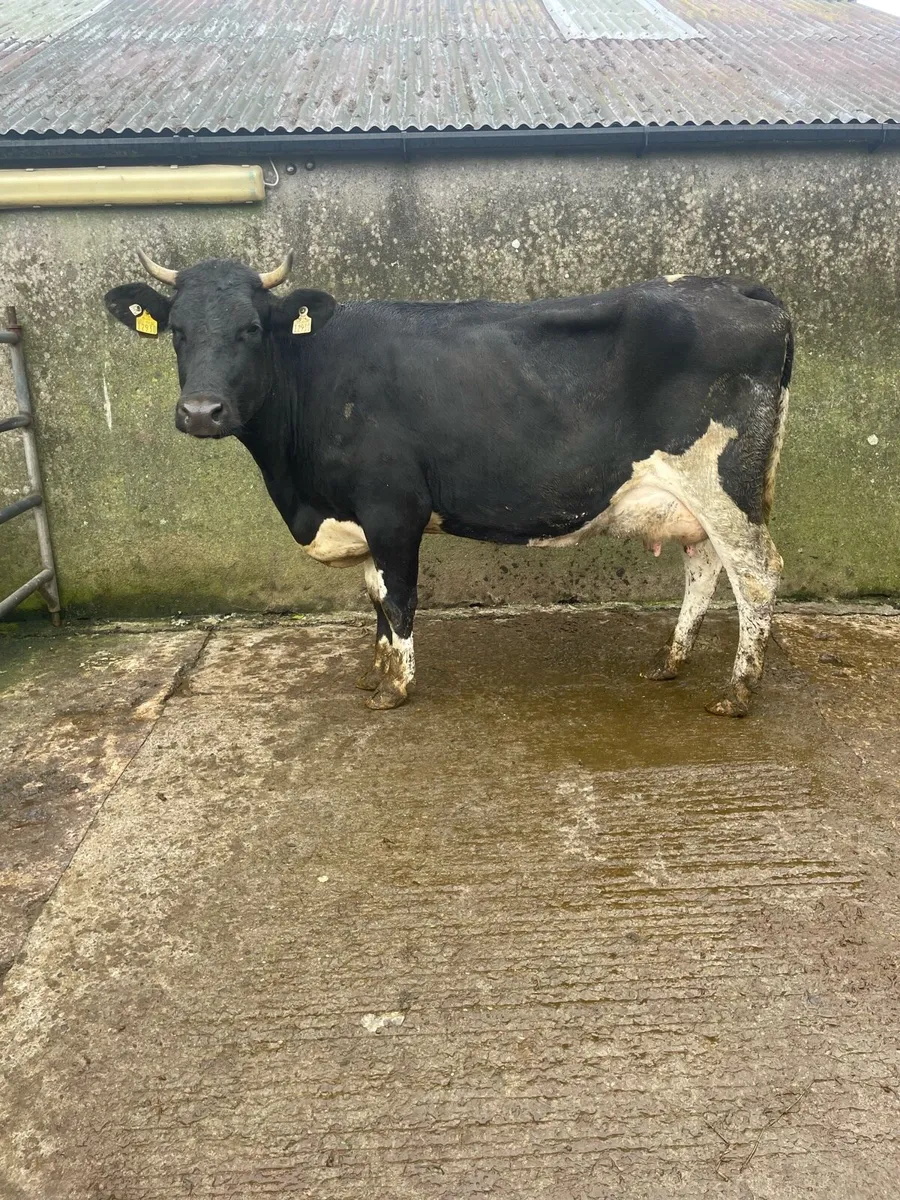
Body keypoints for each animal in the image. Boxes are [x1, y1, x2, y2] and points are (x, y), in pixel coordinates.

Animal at [105, 252, 792, 717]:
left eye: (251, 328)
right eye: (177, 331)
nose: (201, 412)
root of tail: (738, 286)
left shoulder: (392, 508)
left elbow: (399, 596)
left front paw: (395, 687)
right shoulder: (361, 514)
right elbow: (375, 594)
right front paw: (376, 671)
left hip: (722, 482)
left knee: (756, 572)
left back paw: (737, 692)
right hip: (693, 497)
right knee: (704, 567)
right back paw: (669, 663)